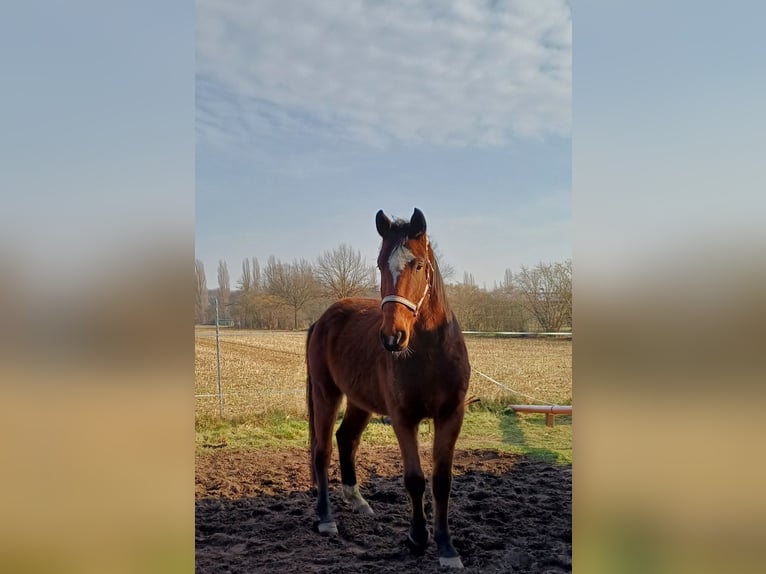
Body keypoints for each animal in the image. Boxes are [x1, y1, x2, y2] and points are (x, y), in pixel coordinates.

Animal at [308, 209, 472, 568]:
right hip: (326, 394)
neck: (430, 353)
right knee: (322, 450)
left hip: (359, 402)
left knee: (346, 438)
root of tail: (323, 319)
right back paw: (326, 518)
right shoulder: (402, 418)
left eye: (418, 265)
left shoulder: (451, 416)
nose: (392, 337)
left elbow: (441, 481)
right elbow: (414, 479)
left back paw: (358, 501)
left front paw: (446, 547)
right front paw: (417, 538)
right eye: (381, 264)